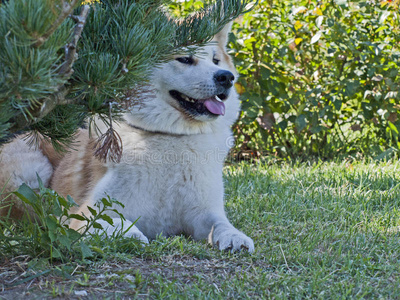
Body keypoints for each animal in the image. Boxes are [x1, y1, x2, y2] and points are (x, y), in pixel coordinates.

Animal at [0, 24, 255, 253]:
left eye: (216, 61)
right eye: (184, 59)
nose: (226, 78)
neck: (172, 137)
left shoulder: (205, 211)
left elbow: (220, 224)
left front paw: (235, 236)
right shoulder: (87, 211)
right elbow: (111, 222)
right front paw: (130, 234)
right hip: (31, 173)